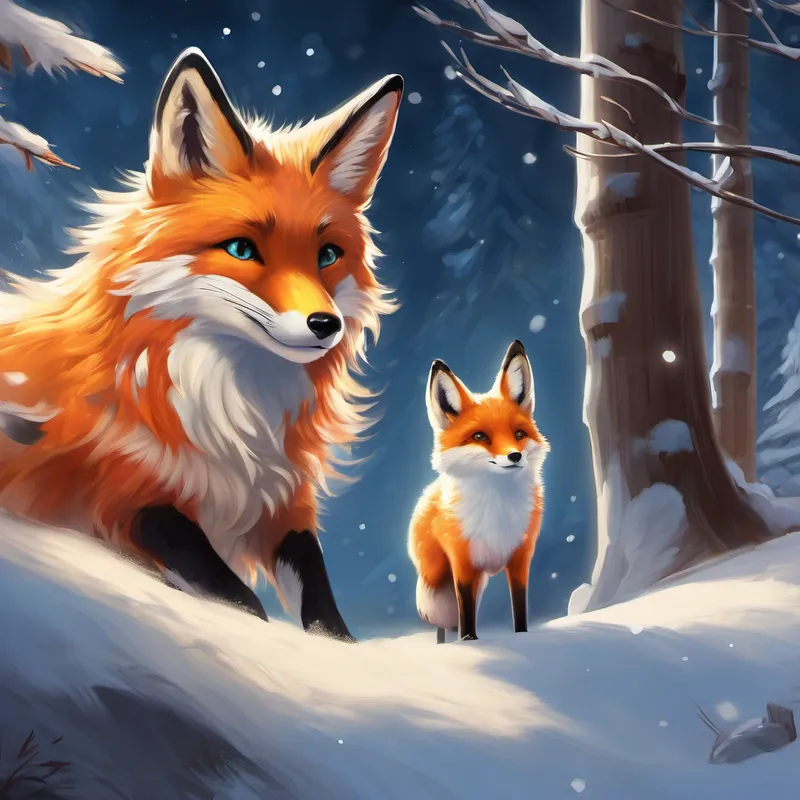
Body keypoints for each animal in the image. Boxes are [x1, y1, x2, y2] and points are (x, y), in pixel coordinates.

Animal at [0, 47, 404, 642]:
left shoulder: (281, 502)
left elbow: (323, 612)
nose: (324, 324)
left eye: (327, 256)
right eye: (242, 249)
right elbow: (242, 604)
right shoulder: (127, 497)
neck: (231, 415)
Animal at [408, 340, 549, 642]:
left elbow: (520, 609)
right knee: (442, 622)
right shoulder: (462, 563)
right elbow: (466, 616)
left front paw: (523, 637)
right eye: (480, 437)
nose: (515, 456)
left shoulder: (521, 557)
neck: (498, 512)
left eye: (519, 434)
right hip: (436, 578)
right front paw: (468, 643)